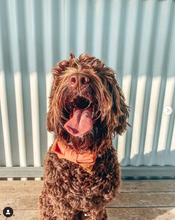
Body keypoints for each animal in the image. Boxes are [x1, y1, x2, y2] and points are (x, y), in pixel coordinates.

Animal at [38, 52, 130, 219]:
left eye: (99, 72)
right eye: (63, 71)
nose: (79, 79)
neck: (81, 156)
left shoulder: (96, 206)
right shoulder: (62, 204)